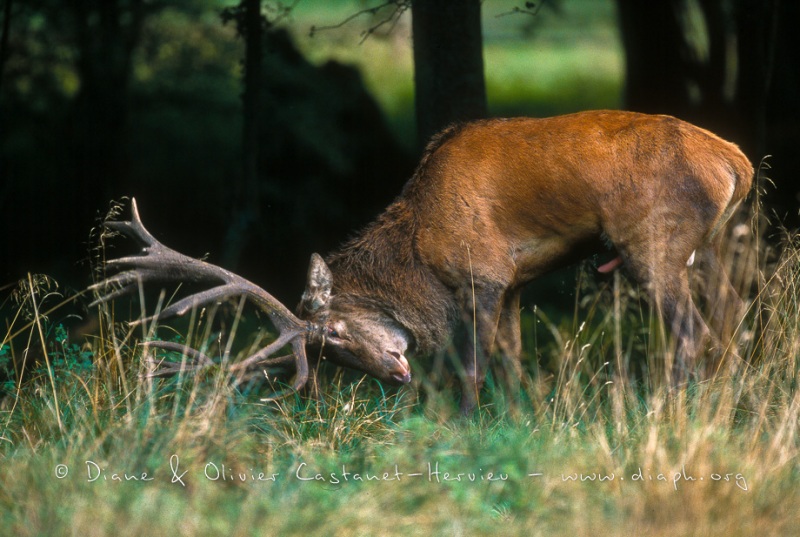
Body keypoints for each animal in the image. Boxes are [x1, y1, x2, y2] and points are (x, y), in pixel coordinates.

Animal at [90, 108, 752, 410]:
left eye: (333, 334)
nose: (395, 376)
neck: (421, 245)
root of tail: (736, 164)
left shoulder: (482, 274)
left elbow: (475, 368)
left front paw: (468, 425)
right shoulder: (515, 282)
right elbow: (515, 363)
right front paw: (523, 418)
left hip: (655, 243)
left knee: (691, 333)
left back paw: (671, 407)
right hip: (712, 249)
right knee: (730, 320)